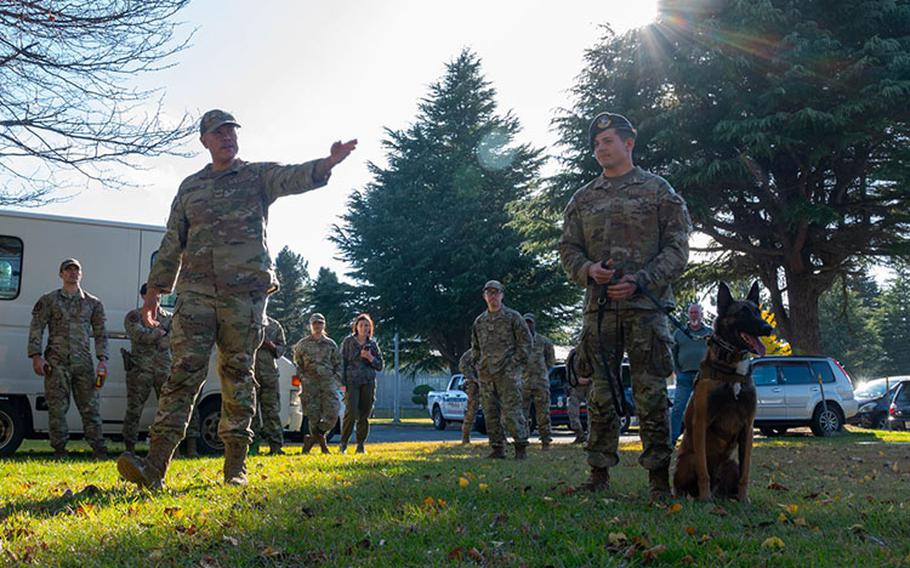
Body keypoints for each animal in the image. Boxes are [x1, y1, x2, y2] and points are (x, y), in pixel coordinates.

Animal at [672, 280, 772, 502]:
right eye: (743, 313)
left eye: (758, 311)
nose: (768, 328)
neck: (731, 368)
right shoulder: (701, 424)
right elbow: (703, 472)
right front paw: (705, 499)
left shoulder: (748, 428)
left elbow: (745, 472)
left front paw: (744, 500)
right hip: (687, 460)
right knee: (688, 482)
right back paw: (693, 497)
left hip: (730, 464)